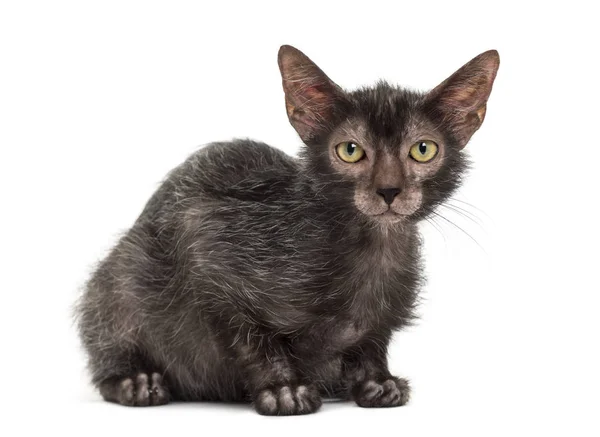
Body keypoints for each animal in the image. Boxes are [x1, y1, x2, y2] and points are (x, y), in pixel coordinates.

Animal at [77, 46, 502, 414]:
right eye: (349, 151)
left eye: (423, 150)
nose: (388, 190)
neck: (371, 250)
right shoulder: (203, 240)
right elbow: (252, 339)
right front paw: (283, 389)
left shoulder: (382, 316)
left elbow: (372, 340)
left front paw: (377, 382)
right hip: (121, 278)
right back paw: (135, 381)